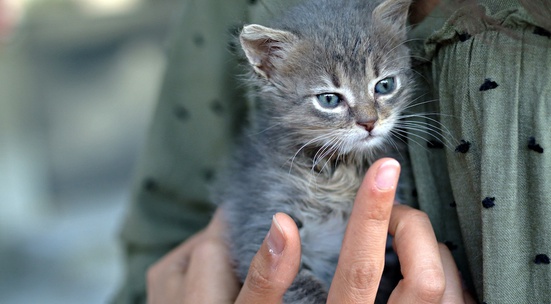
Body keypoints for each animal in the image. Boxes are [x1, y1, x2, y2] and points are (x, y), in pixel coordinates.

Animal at [213, 0, 412, 302]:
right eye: (329, 99)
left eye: (385, 85)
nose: (369, 122)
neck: (339, 170)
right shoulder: (259, 221)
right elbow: (303, 288)